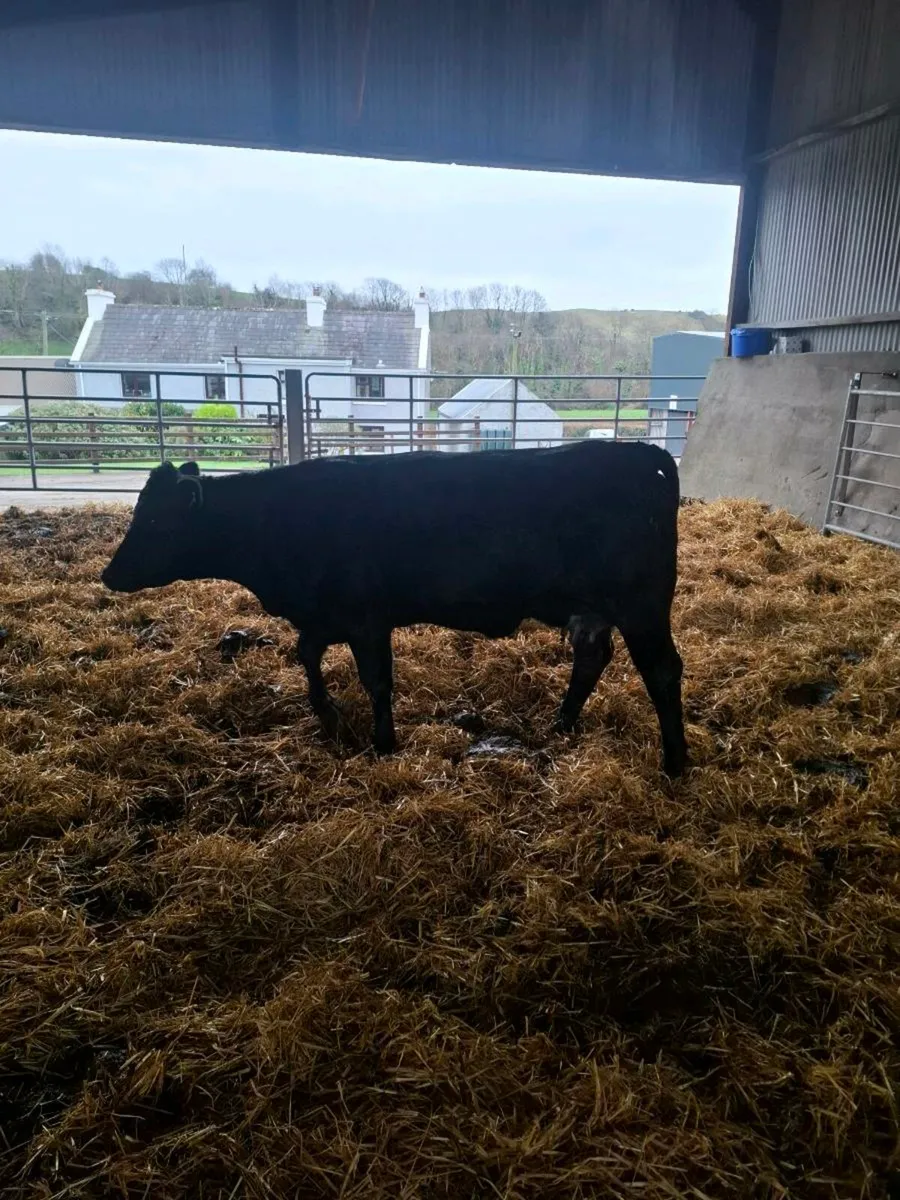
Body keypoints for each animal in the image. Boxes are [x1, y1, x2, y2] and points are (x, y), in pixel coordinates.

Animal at [101, 441, 687, 776]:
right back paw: (561, 723)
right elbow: (306, 653)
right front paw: (328, 714)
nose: (109, 575)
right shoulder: (325, 614)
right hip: (593, 610)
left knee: (663, 672)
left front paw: (383, 743)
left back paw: (676, 761)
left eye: (155, 523)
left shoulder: (366, 617)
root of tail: (644, 453)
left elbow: (377, 680)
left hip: (642, 606)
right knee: (592, 658)